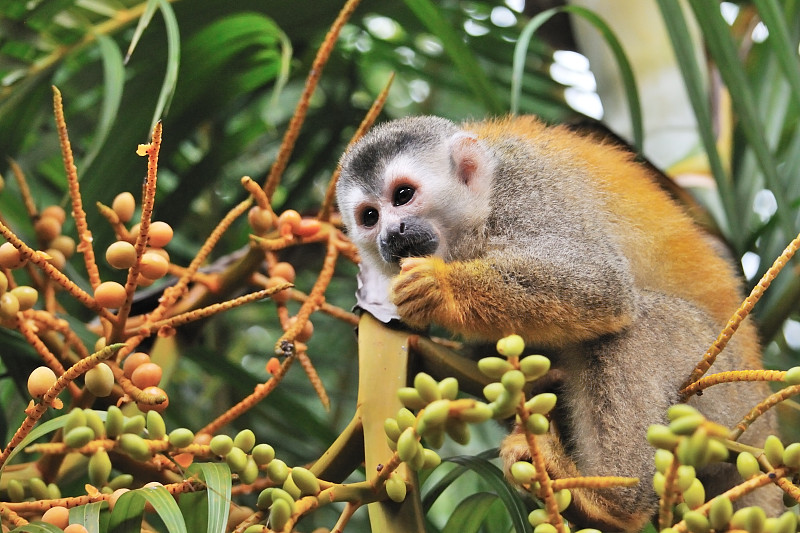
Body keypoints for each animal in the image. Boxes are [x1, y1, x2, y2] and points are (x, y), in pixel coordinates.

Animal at [336, 114, 780, 524]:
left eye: (403, 195)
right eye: (369, 216)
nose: (390, 235)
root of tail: (763, 431)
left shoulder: (526, 195)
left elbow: (602, 285)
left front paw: (441, 289)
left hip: (722, 395)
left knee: (635, 329)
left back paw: (611, 502)